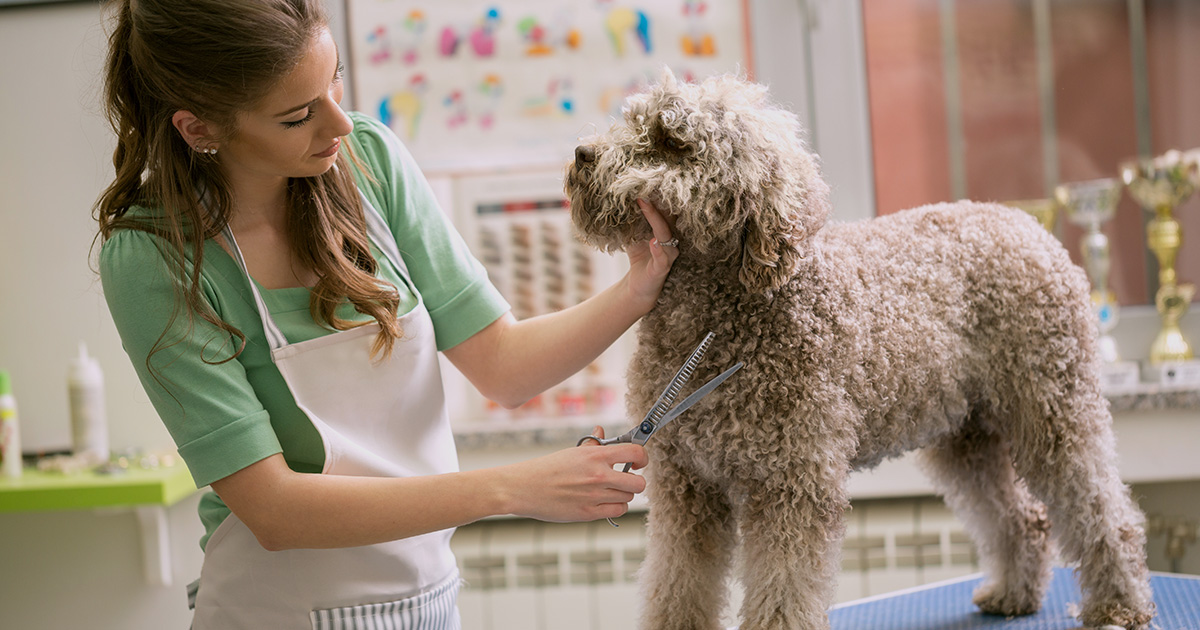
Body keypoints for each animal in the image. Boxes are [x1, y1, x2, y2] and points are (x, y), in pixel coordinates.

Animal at [566, 69, 1156, 628]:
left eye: (670, 140)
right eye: (630, 120)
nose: (581, 154)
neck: (714, 319)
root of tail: (1026, 223)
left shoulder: (793, 481)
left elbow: (784, 588)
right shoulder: (685, 488)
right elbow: (677, 581)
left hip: (1054, 409)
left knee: (1104, 512)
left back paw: (1119, 603)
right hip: (967, 436)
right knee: (1022, 517)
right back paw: (1014, 594)